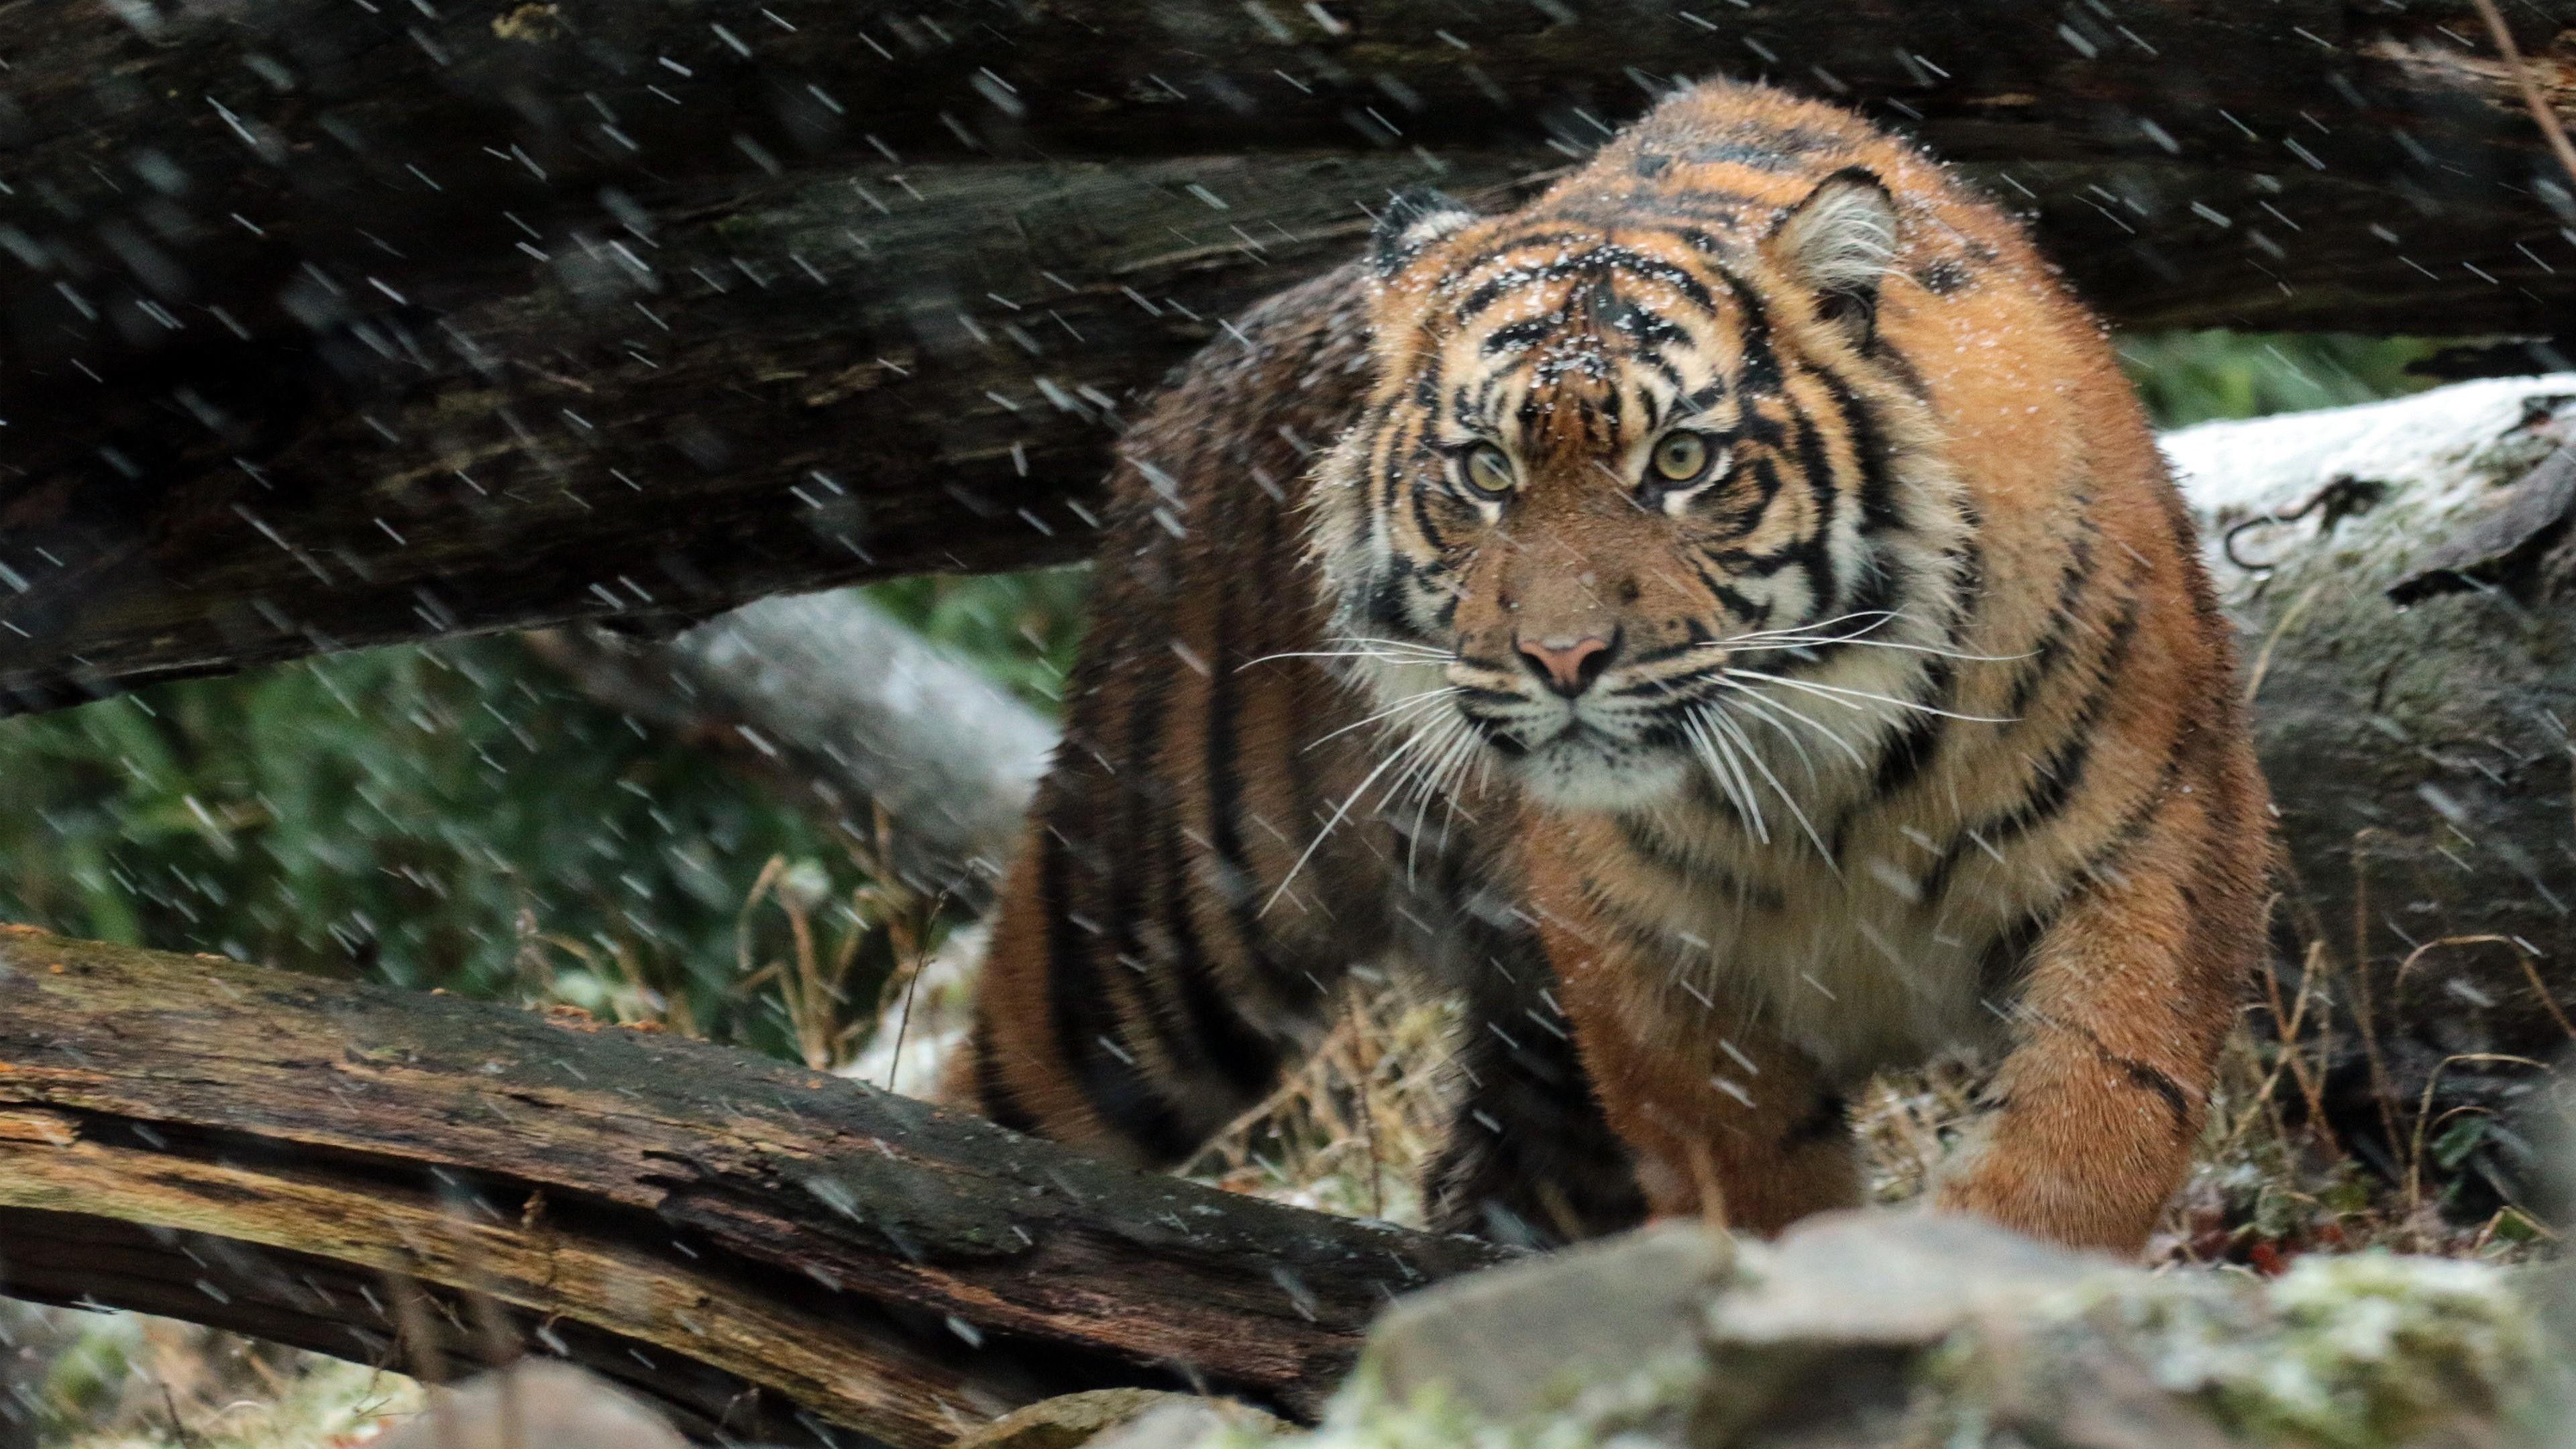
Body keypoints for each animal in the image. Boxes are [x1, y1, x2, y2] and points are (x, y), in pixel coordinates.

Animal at [944, 77, 2271, 1256]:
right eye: (1485, 472)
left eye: (1680, 461)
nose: (1563, 656)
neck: (1825, 784)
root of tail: (1187, 378)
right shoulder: (1638, 958)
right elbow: (1752, 1172)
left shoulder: (2159, 840)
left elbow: (2089, 1130)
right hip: (1151, 930)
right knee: (989, 1112)